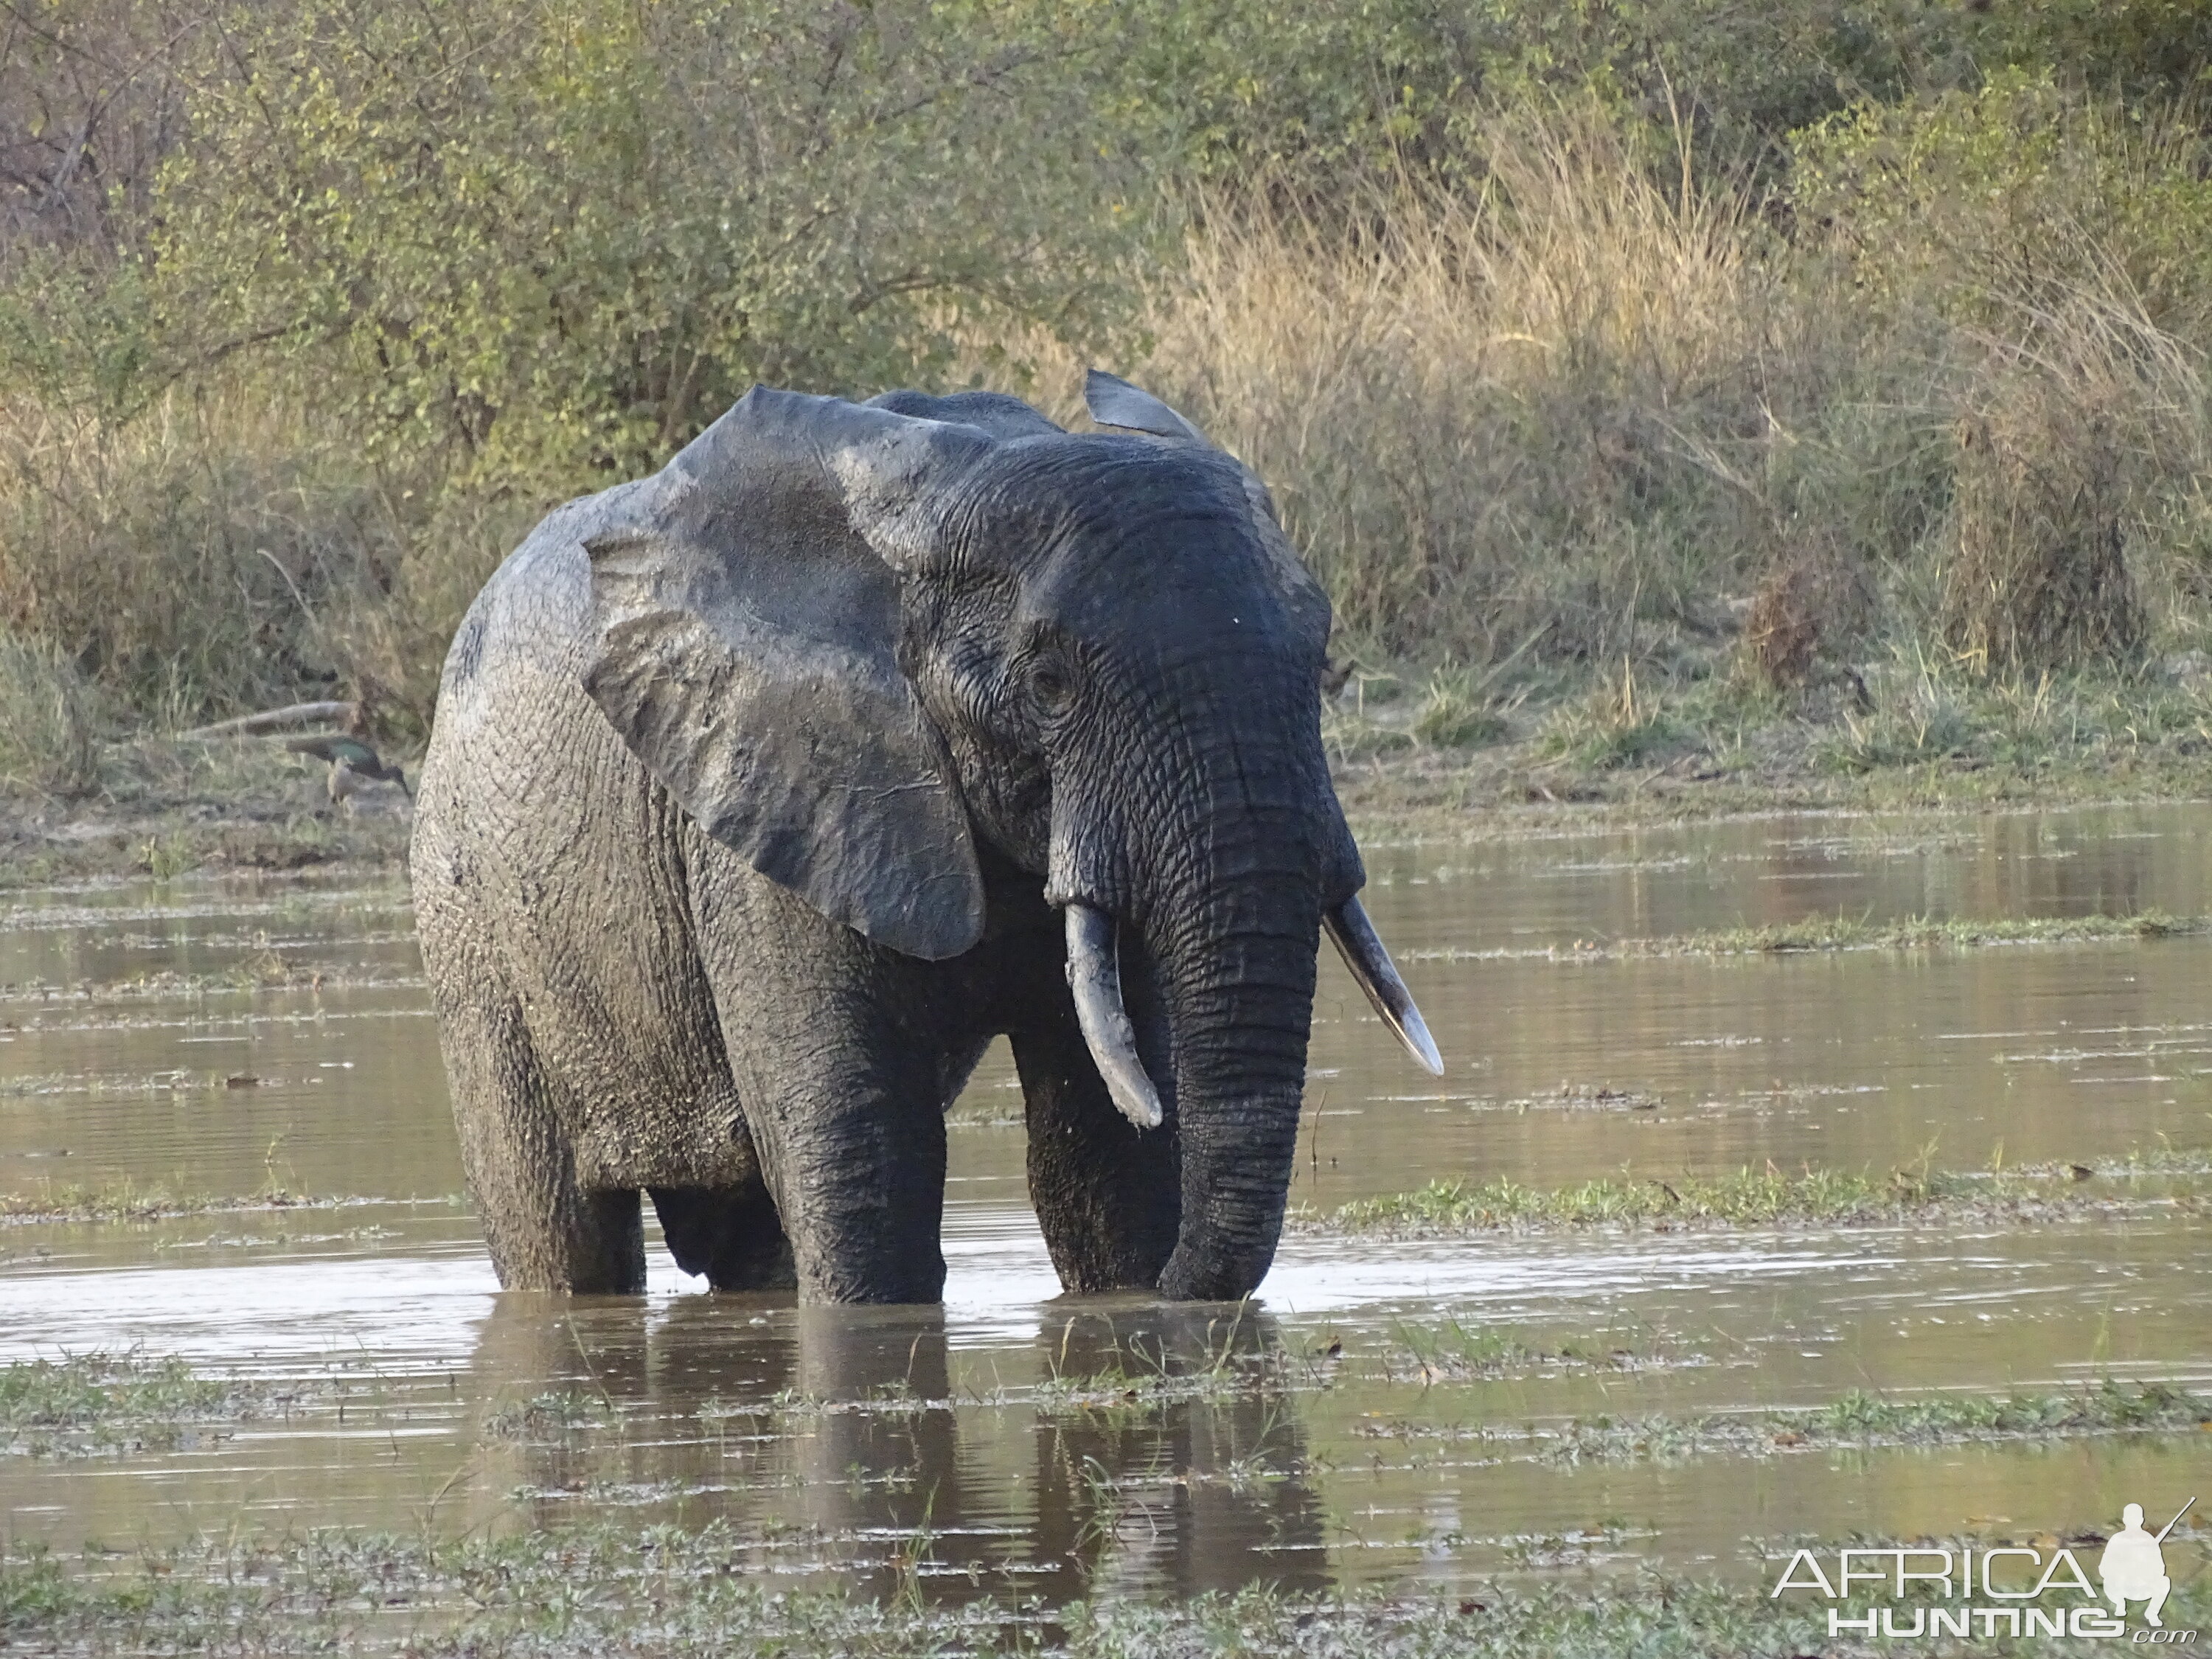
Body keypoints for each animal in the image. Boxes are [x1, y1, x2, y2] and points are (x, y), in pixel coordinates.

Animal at [411, 369, 1451, 1310]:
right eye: (1048, 684)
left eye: (1319, 658)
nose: (1184, 1296)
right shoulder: (781, 796)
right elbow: (864, 1163)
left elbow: (1108, 1169)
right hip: (469, 921)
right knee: (563, 1240)